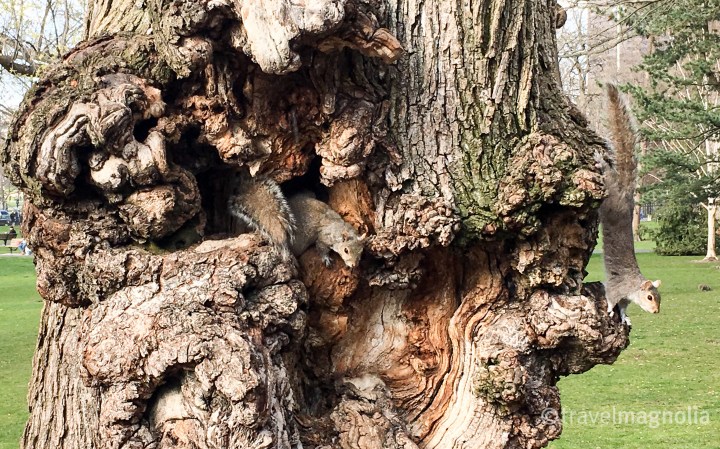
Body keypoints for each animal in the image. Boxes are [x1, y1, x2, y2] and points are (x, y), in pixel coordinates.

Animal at [227, 174, 365, 268]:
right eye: (346, 250)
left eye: (361, 251)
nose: (354, 265)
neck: (339, 228)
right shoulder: (324, 237)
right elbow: (321, 247)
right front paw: (326, 259)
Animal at [600, 83, 661, 326]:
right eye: (649, 297)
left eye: (659, 298)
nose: (656, 312)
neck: (633, 288)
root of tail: (626, 195)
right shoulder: (618, 288)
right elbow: (610, 297)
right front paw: (609, 310)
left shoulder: (626, 298)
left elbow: (624, 307)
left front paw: (625, 318)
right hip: (609, 196)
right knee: (608, 176)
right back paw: (599, 161)